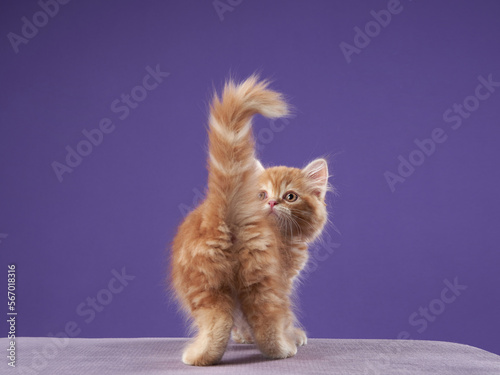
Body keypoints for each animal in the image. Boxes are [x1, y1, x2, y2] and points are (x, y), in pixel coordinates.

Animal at [170, 76, 330, 368]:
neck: (286, 239)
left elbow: (243, 318)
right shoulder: (283, 278)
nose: (271, 203)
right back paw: (283, 347)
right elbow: (280, 315)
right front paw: (292, 333)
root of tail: (225, 208)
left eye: (290, 196)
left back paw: (202, 356)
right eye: (261, 194)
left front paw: (245, 337)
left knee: (219, 319)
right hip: (262, 276)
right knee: (267, 316)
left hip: (205, 281)